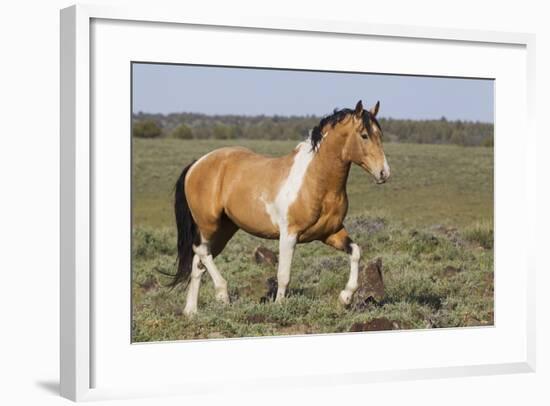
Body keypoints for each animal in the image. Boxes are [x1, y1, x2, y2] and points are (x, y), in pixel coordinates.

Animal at [170, 100, 390, 316]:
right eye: (364, 135)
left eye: (380, 135)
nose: (384, 173)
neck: (315, 181)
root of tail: (196, 164)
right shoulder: (289, 235)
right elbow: (284, 274)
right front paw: (279, 306)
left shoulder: (331, 233)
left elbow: (356, 252)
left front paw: (345, 298)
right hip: (209, 225)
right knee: (200, 252)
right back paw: (222, 295)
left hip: (225, 230)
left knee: (198, 263)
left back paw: (191, 311)